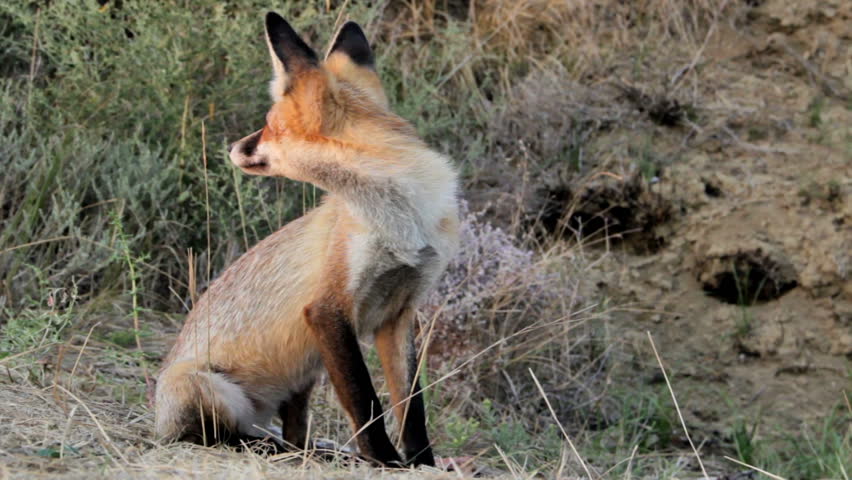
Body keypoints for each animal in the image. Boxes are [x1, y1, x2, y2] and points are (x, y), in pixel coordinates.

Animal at [153, 12, 459, 468]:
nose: (232, 147)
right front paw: (384, 461)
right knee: (217, 436)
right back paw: (267, 447)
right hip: (210, 389)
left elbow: (411, 406)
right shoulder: (327, 310)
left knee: (296, 435)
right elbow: (364, 399)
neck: (401, 218)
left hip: (304, 379)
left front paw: (420, 463)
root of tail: (157, 420)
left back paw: (314, 452)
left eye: (267, 124)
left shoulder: (400, 311)